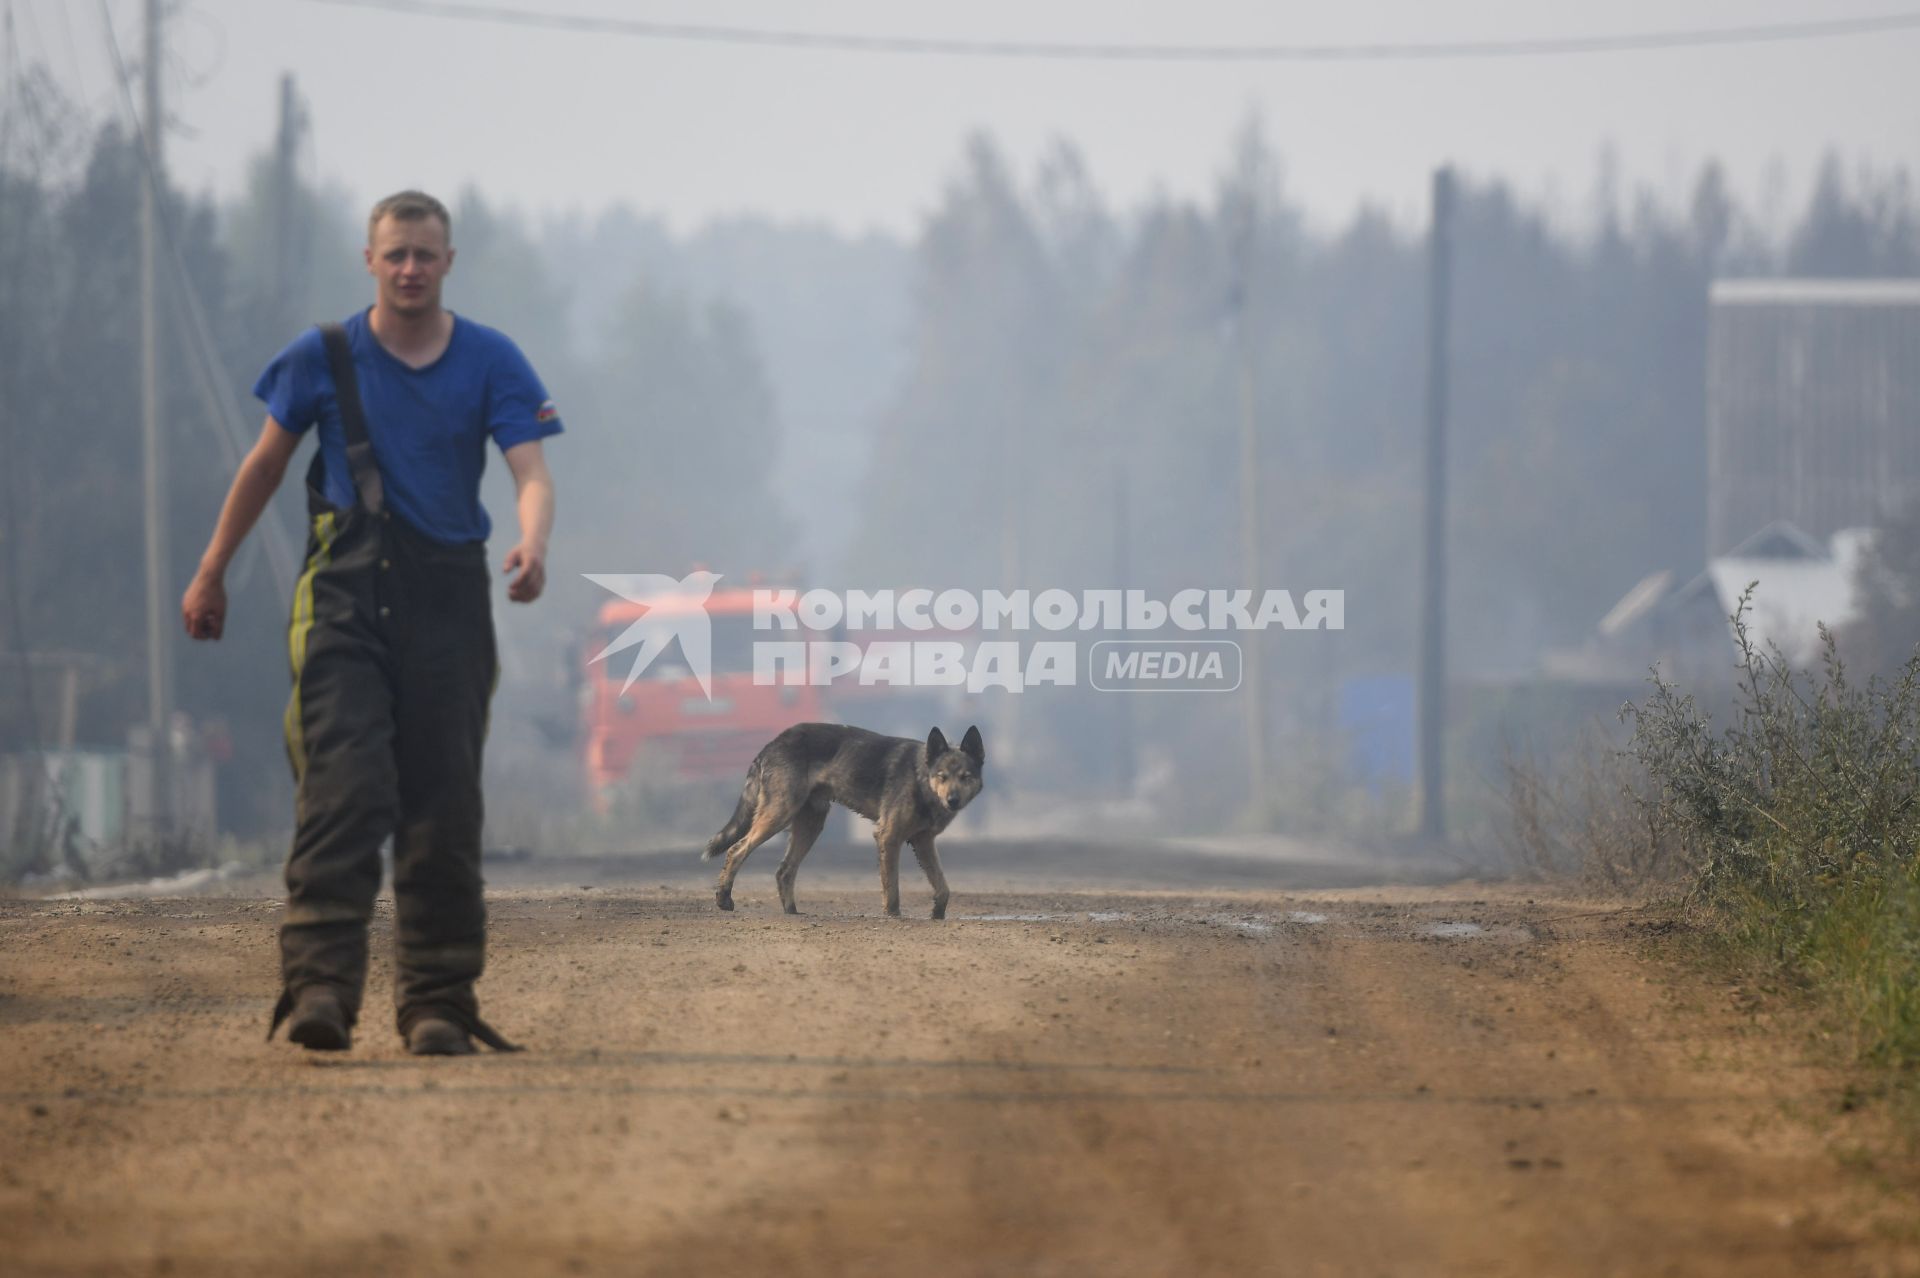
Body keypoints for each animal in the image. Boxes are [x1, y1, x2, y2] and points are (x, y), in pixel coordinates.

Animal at [698, 717, 983, 917]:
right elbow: (892, 887)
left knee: (784, 870)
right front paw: (893, 915)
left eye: (965, 777)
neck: (921, 777)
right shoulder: (889, 837)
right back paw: (724, 899)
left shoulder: (923, 843)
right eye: (942, 776)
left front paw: (938, 913)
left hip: (811, 825)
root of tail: (772, 744)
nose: (953, 800)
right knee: (737, 849)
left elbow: (943, 887)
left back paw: (792, 911)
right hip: (778, 814)